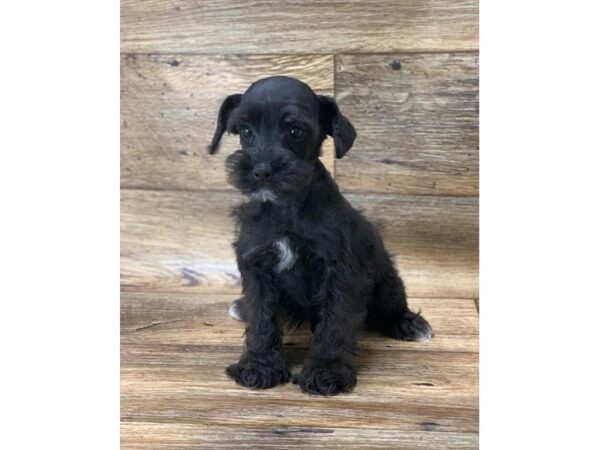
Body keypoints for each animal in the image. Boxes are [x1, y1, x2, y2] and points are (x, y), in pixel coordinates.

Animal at [207, 76, 432, 394]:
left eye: (295, 131)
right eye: (246, 130)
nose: (262, 170)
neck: (286, 209)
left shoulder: (339, 272)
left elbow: (335, 322)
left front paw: (327, 370)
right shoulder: (257, 267)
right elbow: (262, 319)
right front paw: (259, 365)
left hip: (388, 284)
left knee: (391, 307)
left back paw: (408, 323)